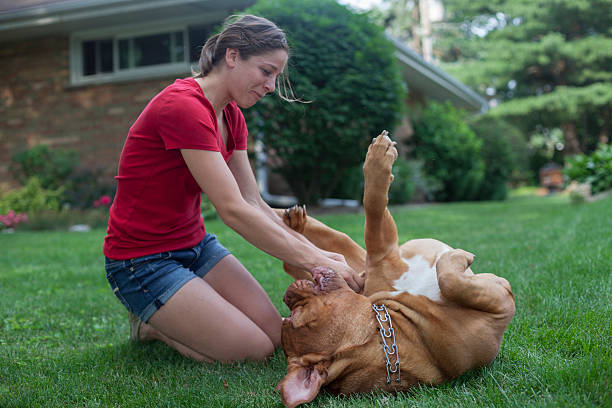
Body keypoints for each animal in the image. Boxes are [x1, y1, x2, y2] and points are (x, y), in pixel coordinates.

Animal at [274, 132, 512, 406]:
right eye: (293, 315)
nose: (287, 295)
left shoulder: (376, 262)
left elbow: (370, 212)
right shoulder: (501, 304)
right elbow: (374, 205)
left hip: (358, 266)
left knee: (327, 242)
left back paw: (291, 220)